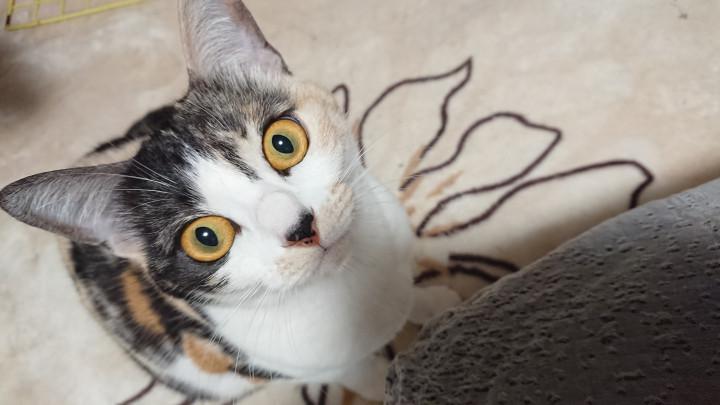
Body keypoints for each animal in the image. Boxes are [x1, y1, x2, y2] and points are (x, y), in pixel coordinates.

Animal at [0, 0, 459, 402]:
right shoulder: (298, 361)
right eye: (205, 237)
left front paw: (435, 300)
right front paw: (395, 375)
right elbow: (365, 374)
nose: (300, 227)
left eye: (283, 142)